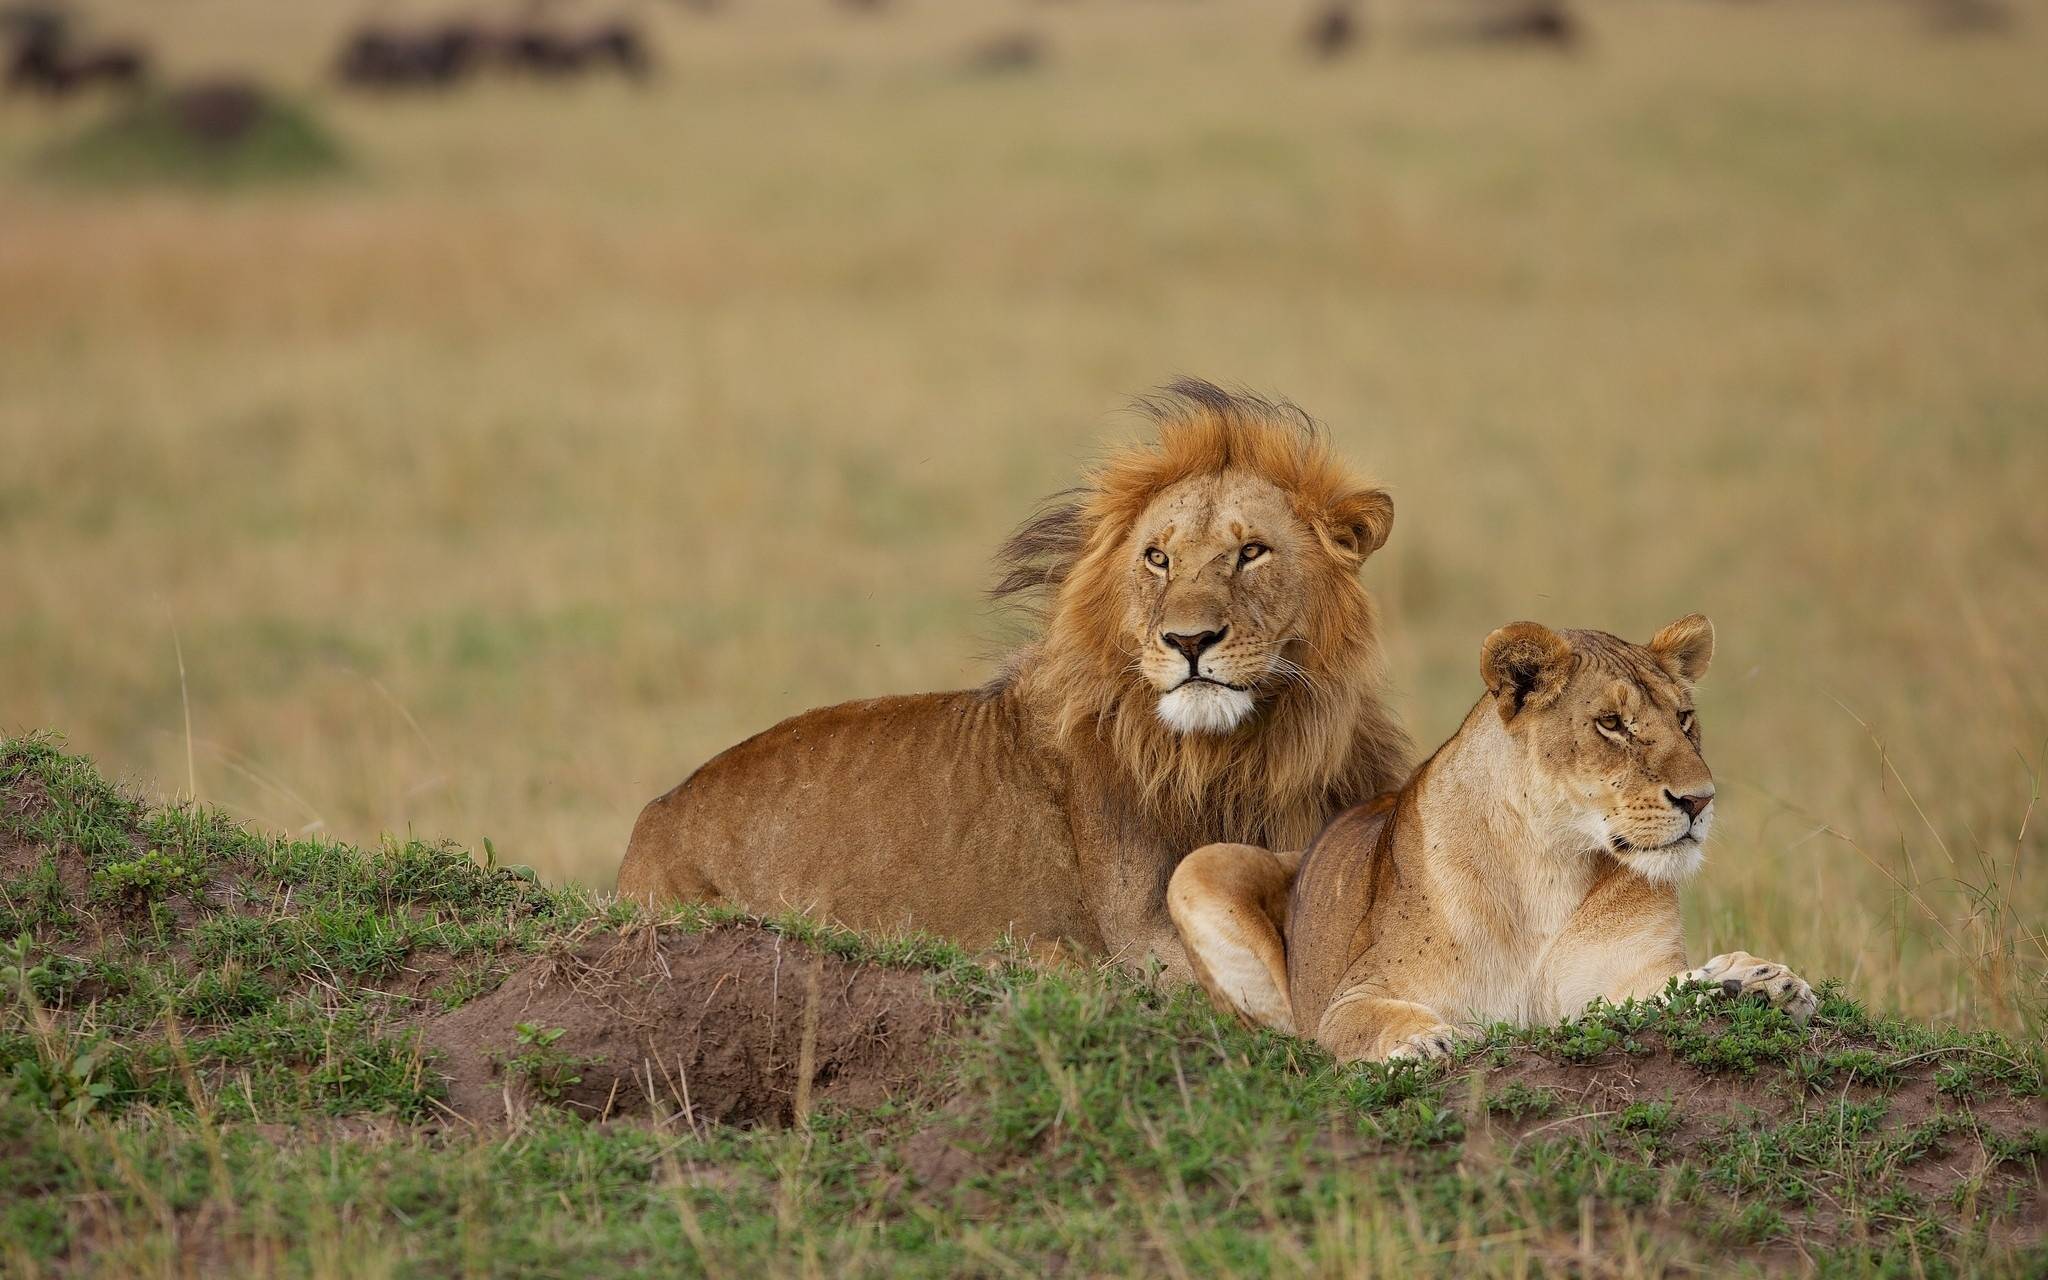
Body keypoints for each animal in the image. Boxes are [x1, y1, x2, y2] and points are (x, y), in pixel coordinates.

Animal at [614, 380, 1417, 978]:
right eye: (1158, 558)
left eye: (1252, 552)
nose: (1188, 641)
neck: (1248, 755)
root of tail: (653, 819)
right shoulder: (1145, 937)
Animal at [1163, 610, 1818, 1056]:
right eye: (1611, 723)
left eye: (1684, 718)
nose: (1699, 800)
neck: (1550, 863)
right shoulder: (1349, 998)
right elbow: (1376, 1020)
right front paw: (1423, 1044)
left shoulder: (1622, 980)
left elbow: (1673, 988)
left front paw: (1761, 982)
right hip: (1199, 866)